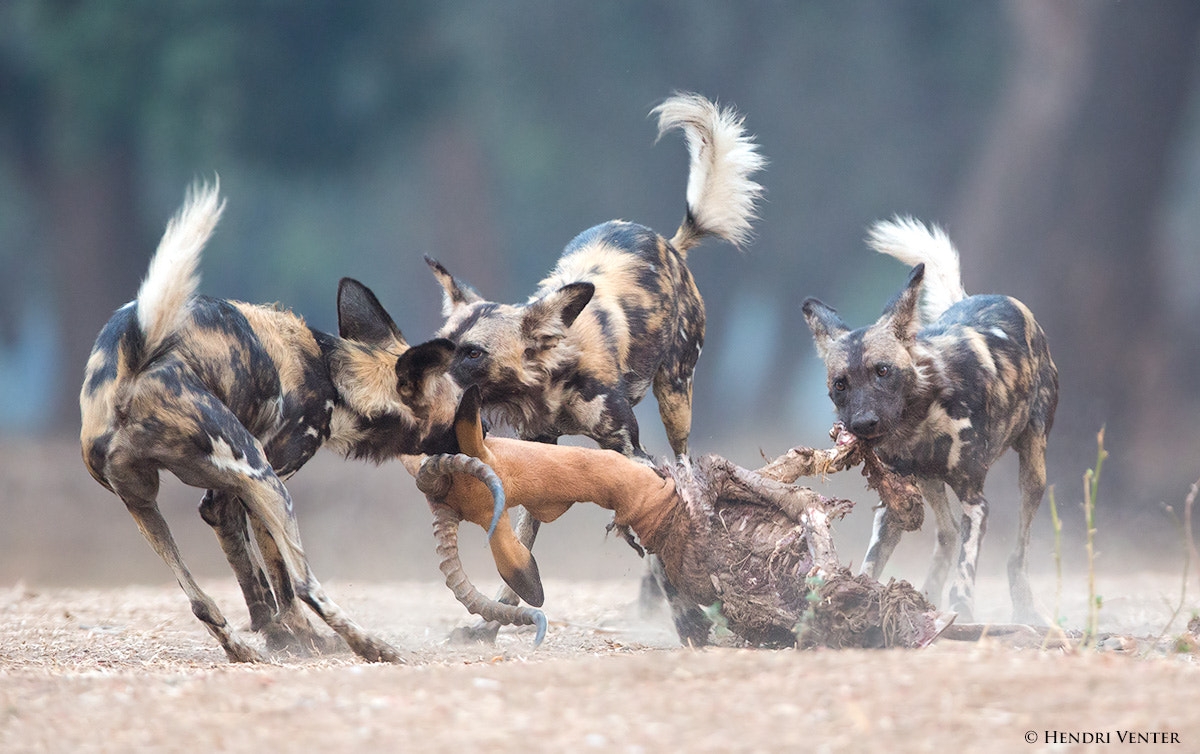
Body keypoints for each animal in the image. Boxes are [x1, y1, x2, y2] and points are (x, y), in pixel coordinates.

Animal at [76, 180, 458, 662]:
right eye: (462, 412)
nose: (483, 443)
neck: (337, 376)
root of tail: (132, 362)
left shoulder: (221, 502)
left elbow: (255, 584)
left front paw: (278, 637)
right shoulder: (263, 483)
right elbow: (283, 582)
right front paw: (305, 641)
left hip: (141, 501)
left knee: (200, 600)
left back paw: (242, 650)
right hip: (265, 482)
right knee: (307, 584)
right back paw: (373, 646)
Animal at [801, 218, 1056, 624]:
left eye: (883, 371)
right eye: (841, 384)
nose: (863, 424)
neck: (916, 421)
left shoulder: (975, 502)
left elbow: (966, 569)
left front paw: (962, 613)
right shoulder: (893, 505)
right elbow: (872, 565)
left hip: (1033, 474)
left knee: (1017, 553)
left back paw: (1024, 611)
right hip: (930, 482)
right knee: (948, 534)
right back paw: (927, 597)